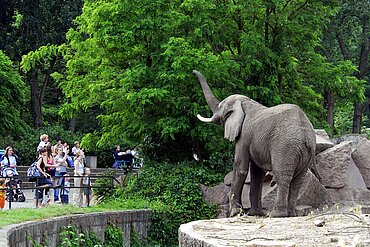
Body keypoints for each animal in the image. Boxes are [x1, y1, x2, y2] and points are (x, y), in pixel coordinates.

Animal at [192, 69, 316, 216]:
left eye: (222, 109)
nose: (193, 71)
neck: (245, 102)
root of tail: (306, 135)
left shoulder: (243, 136)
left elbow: (240, 168)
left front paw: (235, 213)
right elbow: (257, 173)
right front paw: (254, 213)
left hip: (285, 147)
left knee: (282, 176)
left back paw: (275, 215)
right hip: (306, 152)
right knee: (298, 180)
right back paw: (291, 214)